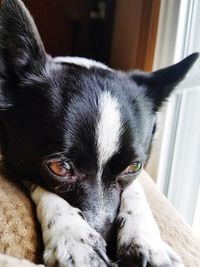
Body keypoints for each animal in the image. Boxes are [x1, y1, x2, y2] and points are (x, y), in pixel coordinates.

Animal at [0, 0, 198, 267]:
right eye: (60, 167)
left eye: (134, 167)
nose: (111, 250)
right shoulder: (16, 160)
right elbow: (45, 189)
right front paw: (74, 237)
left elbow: (136, 193)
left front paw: (147, 241)